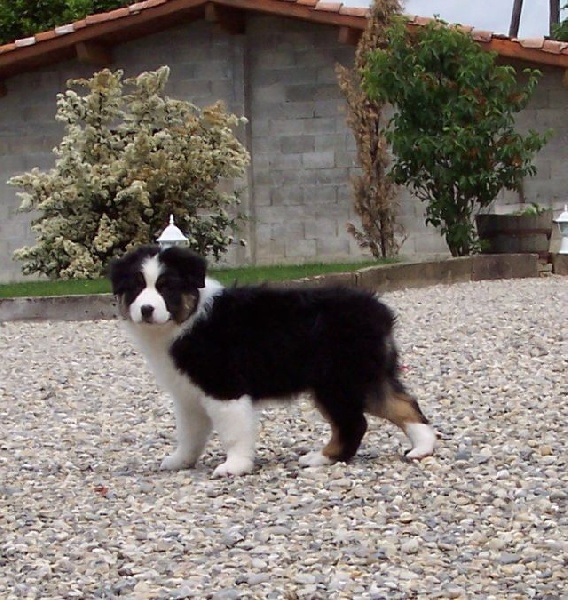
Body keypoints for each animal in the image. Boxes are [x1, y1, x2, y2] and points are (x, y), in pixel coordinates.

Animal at [108, 246, 432, 476]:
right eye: (136, 287)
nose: (146, 310)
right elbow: (189, 433)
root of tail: (379, 311)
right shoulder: (188, 394)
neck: (186, 321)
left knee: (355, 422)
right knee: (402, 405)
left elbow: (233, 433)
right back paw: (420, 448)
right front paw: (180, 461)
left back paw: (325, 457)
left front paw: (234, 466)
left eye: (166, 287)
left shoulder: (224, 387)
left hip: (340, 380)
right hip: (363, 376)